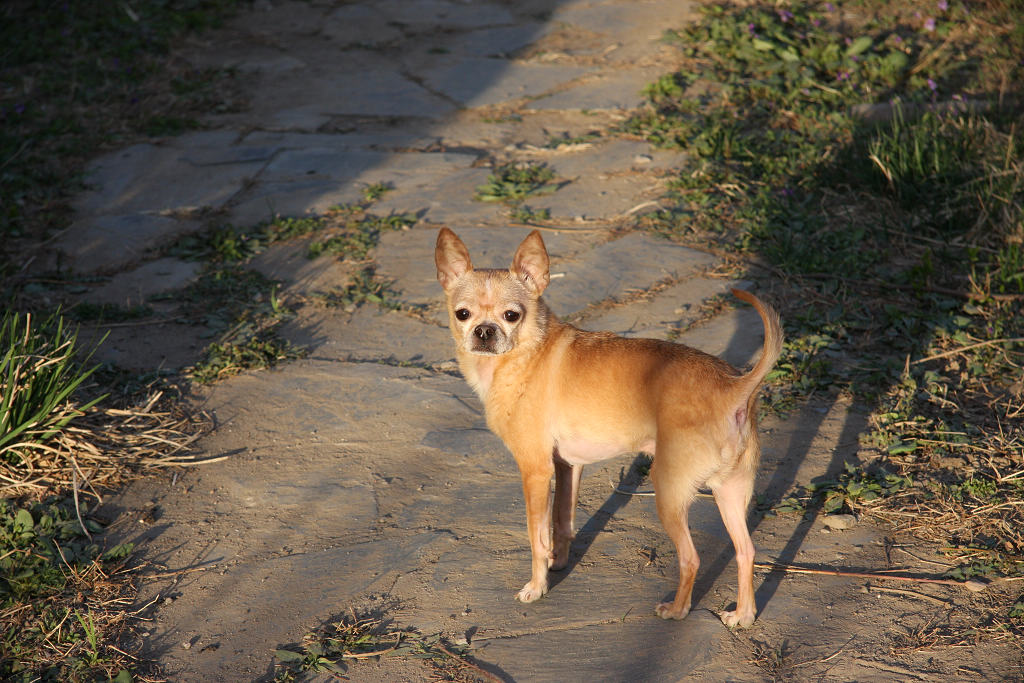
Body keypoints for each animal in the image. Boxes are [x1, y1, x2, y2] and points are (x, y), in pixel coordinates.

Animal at [434, 227, 782, 626]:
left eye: (511, 315)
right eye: (462, 314)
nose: (484, 331)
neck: (525, 354)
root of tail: (733, 387)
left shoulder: (535, 471)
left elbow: (536, 536)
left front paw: (536, 587)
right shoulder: (568, 466)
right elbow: (562, 522)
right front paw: (559, 563)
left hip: (669, 491)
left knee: (691, 557)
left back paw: (676, 610)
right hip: (730, 491)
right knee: (746, 550)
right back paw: (744, 614)